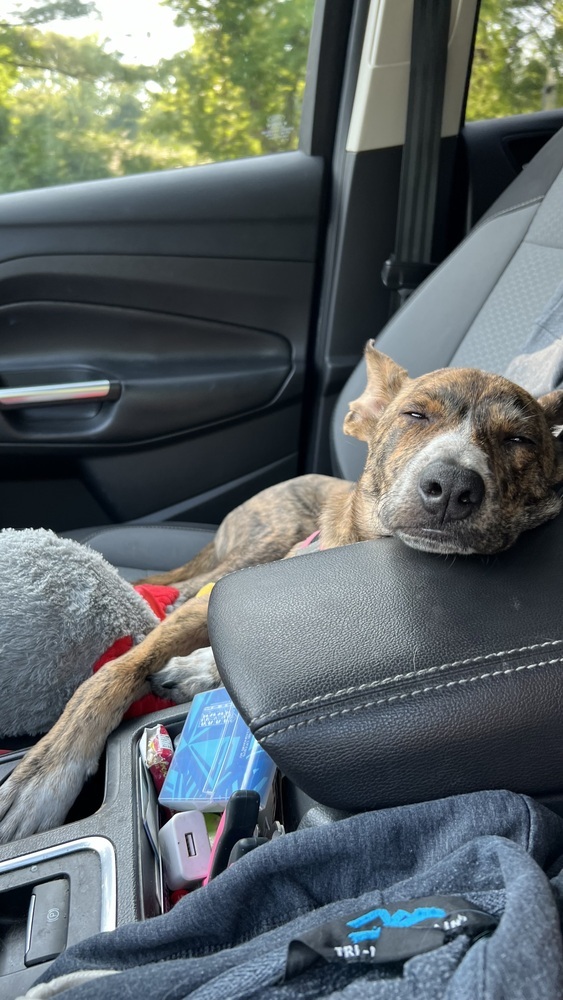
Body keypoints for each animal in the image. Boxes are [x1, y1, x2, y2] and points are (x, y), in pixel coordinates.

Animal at [1, 344, 563, 844]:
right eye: (415, 414)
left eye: (520, 439)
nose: (450, 486)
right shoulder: (215, 601)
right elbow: (112, 673)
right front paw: (43, 775)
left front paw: (197, 670)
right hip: (257, 547)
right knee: (179, 591)